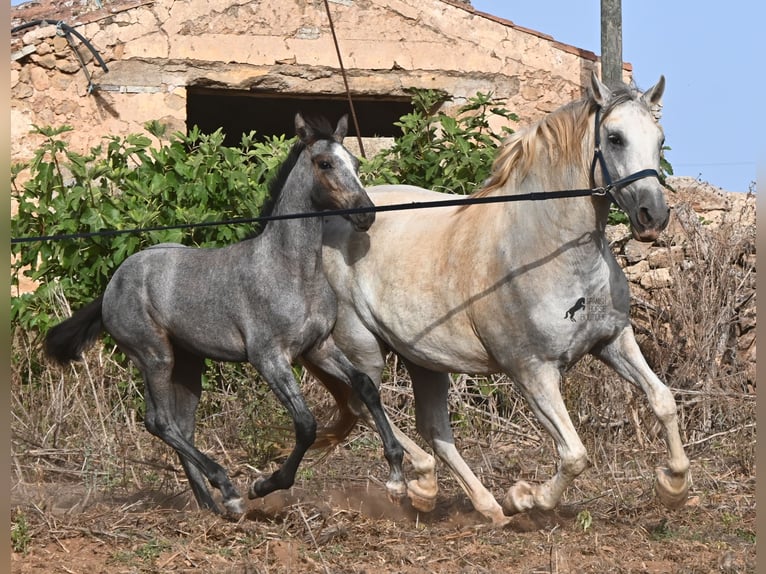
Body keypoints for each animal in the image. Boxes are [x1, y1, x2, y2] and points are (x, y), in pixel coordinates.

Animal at [44, 113, 406, 516]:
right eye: (325, 163)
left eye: (354, 163)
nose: (366, 214)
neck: (291, 271)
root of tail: (113, 284)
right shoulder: (269, 357)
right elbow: (306, 424)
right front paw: (264, 484)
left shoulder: (319, 347)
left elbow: (365, 385)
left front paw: (396, 476)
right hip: (153, 355)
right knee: (159, 422)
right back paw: (229, 491)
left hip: (188, 364)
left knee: (181, 426)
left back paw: (212, 504)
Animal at [315, 72, 691, 526]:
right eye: (615, 138)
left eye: (659, 137)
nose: (653, 216)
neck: (546, 248)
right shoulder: (532, 371)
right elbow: (574, 454)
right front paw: (525, 497)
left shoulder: (613, 340)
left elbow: (663, 400)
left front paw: (673, 487)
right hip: (364, 348)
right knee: (365, 404)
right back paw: (424, 484)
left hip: (424, 360)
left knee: (434, 428)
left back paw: (478, 504)